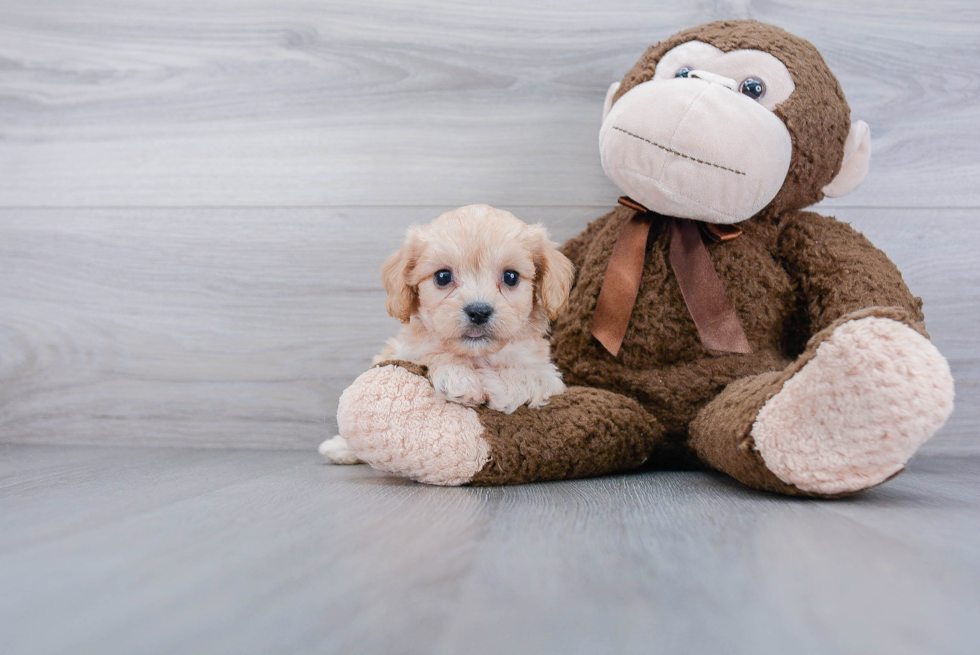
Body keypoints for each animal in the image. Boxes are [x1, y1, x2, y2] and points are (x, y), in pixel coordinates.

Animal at [318, 205, 576, 466]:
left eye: (510, 277)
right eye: (443, 276)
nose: (479, 311)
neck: (478, 356)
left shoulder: (548, 375)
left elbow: (526, 375)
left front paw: (493, 384)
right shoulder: (406, 351)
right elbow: (434, 353)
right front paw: (459, 377)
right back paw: (339, 448)